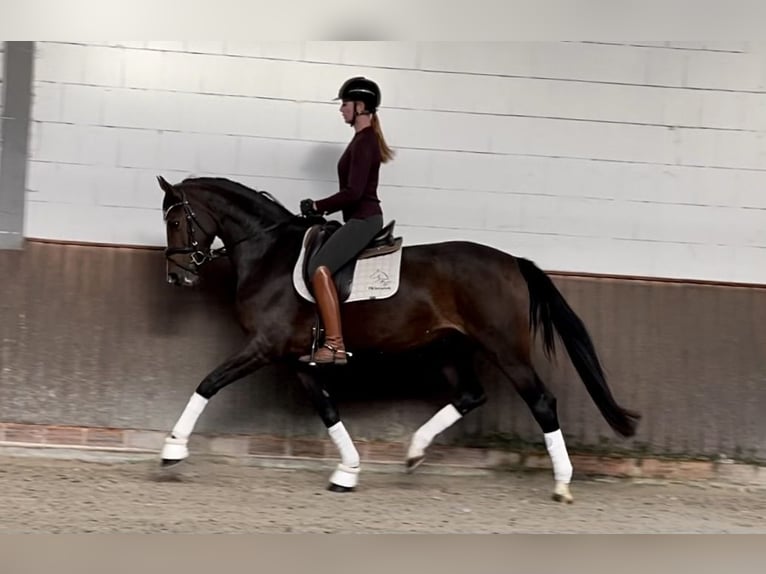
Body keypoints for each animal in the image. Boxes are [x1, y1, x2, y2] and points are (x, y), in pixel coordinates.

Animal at [156, 174, 640, 504]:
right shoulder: (298, 359)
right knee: (470, 395)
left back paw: (561, 484)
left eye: (177, 220)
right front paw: (347, 472)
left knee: (541, 402)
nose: (178, 276)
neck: (269, 253)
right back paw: (414, 452)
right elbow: (328, 410)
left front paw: (172, 450)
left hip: (504, 348)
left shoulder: (264, 346)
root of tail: (512, 262)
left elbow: (208, 383)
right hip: (447, 347)